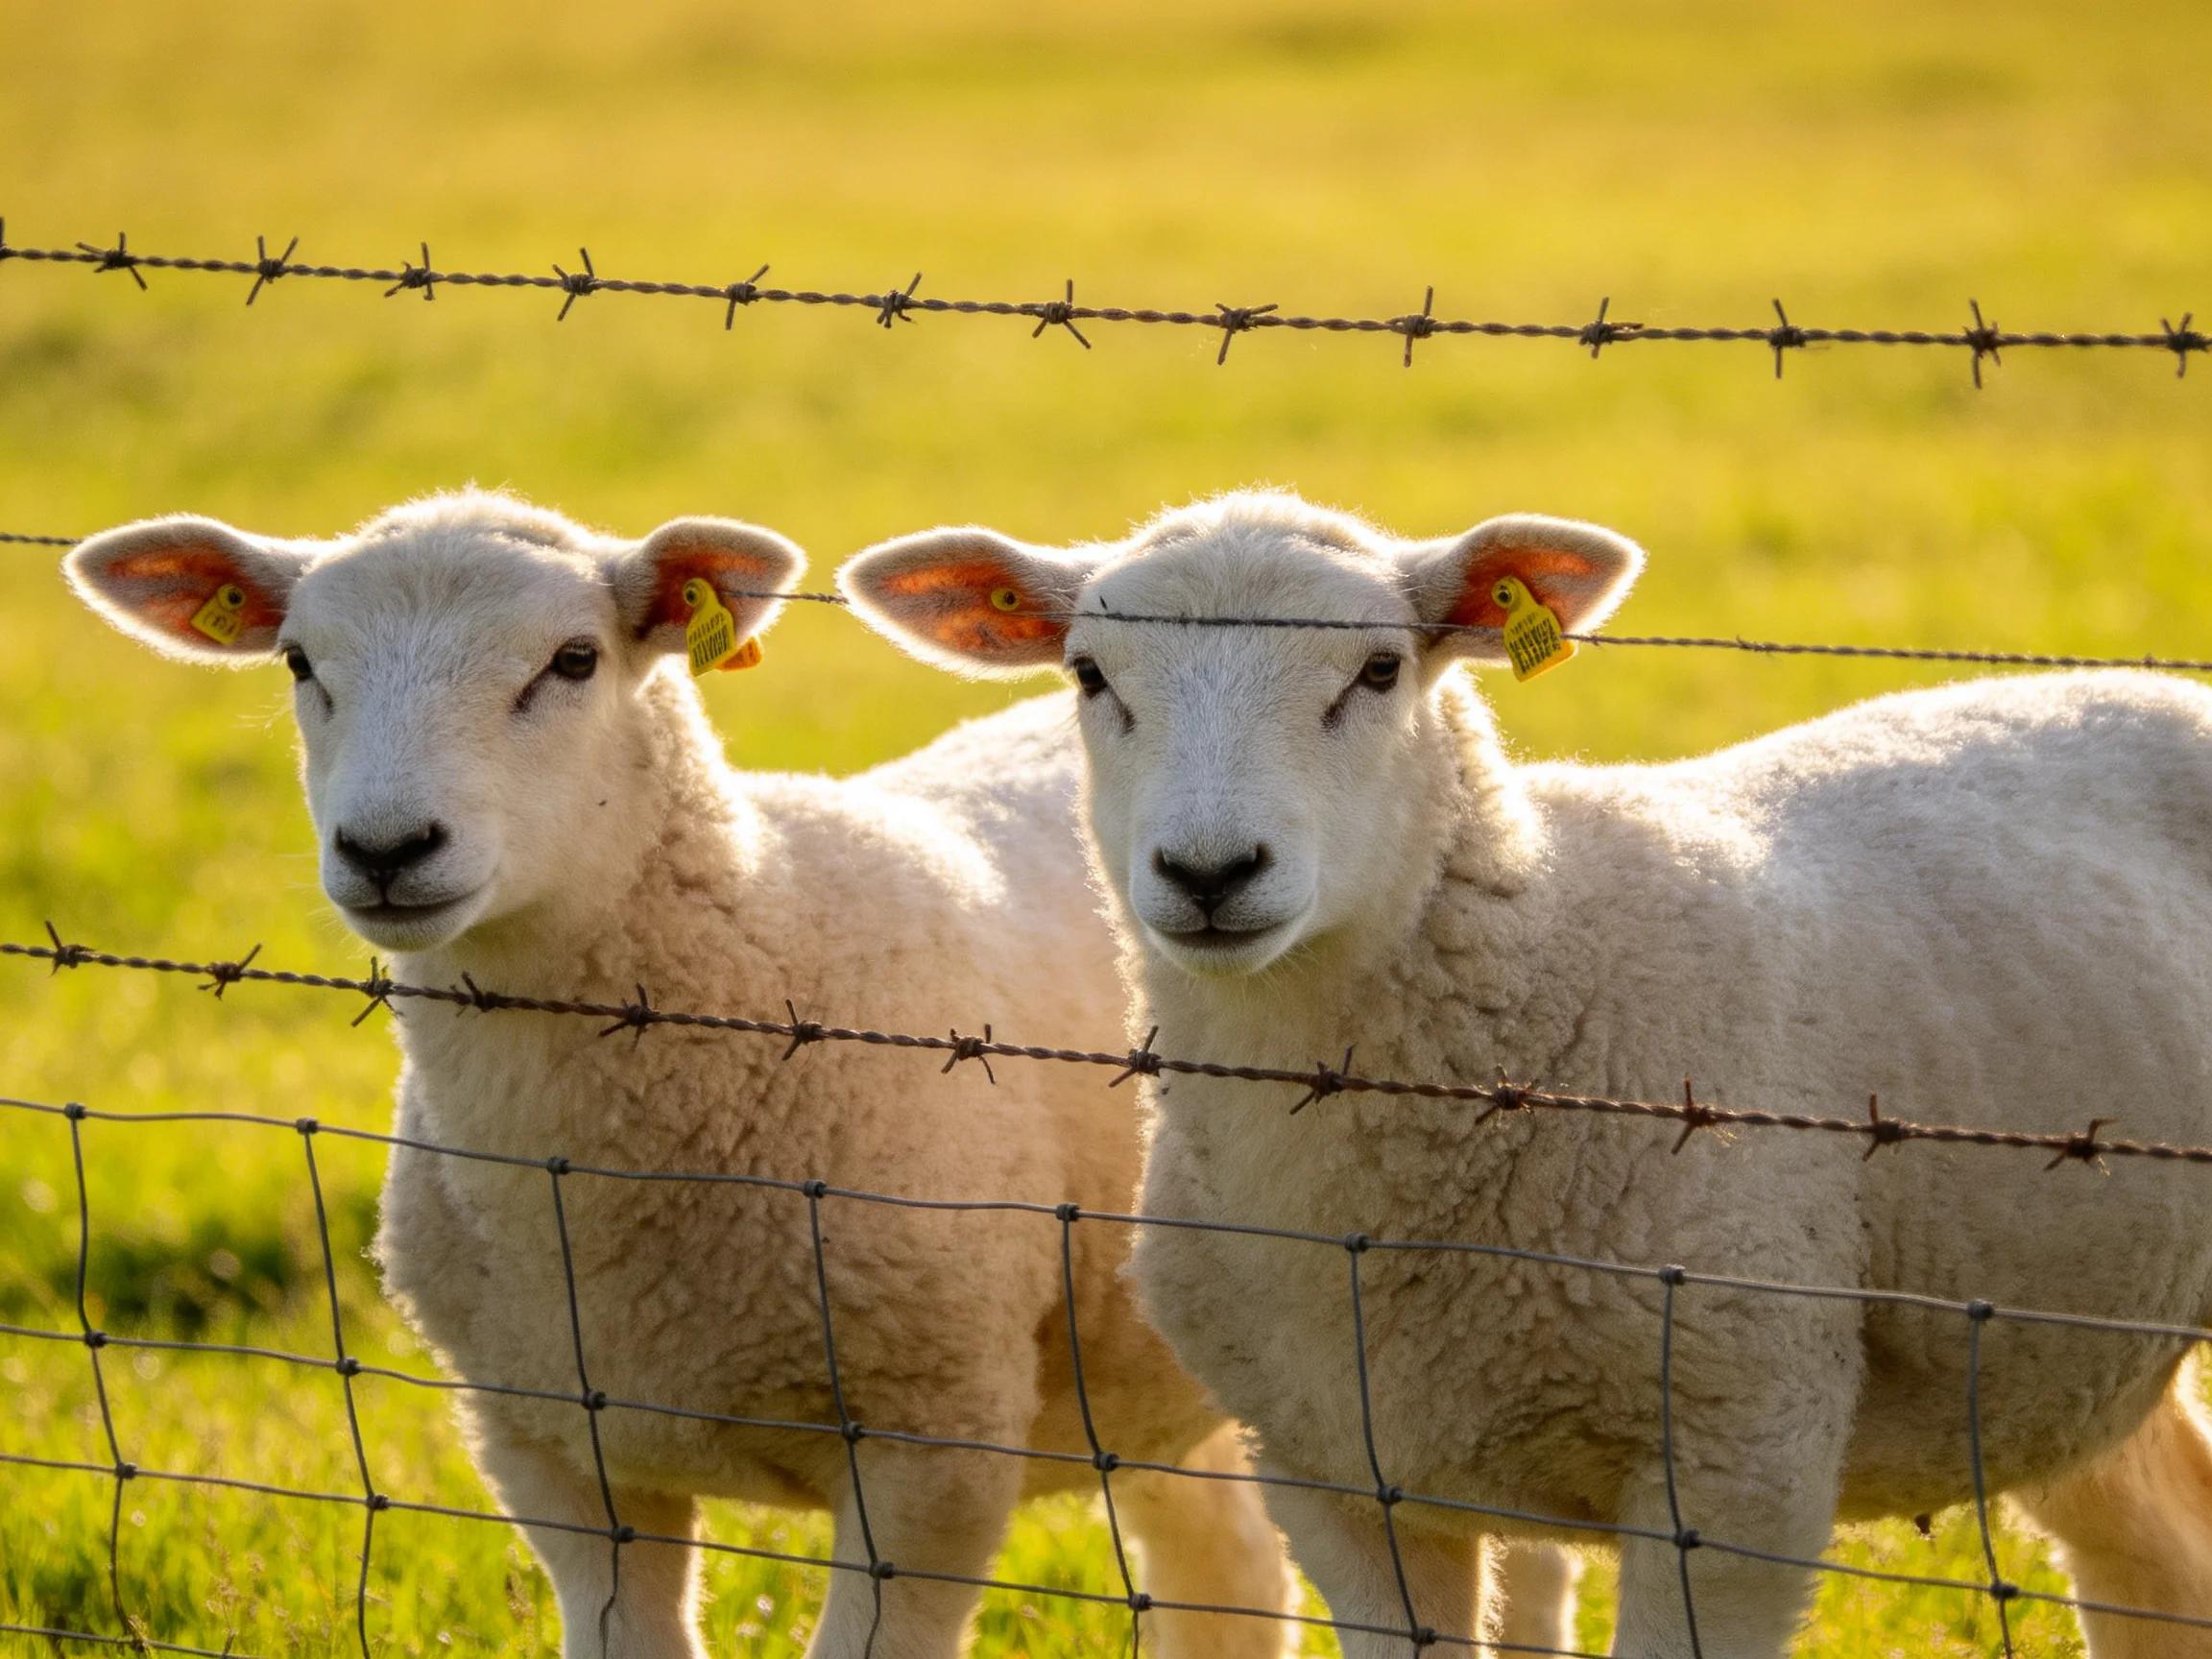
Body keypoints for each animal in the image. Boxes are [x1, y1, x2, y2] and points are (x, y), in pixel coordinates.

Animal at [63, 489, 1296, 1659]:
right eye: (299, 663)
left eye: (573, 660)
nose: (386, 850)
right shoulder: (551, 1452)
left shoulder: (932, 1442)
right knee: (1227, 1567)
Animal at [841, 489, 2212, 1659]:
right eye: (1089, 675)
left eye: (1379, 670)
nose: (1211, 871)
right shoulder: (1339, 1474)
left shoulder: (1740, 1458)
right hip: (2061, 1337)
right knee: (2157, 1556)